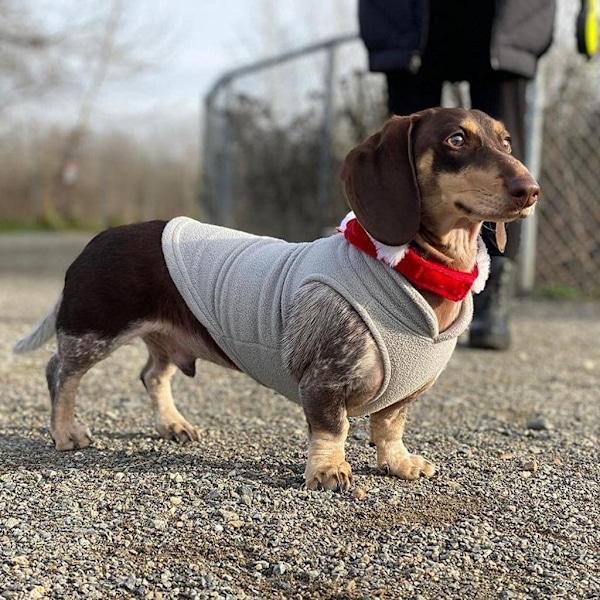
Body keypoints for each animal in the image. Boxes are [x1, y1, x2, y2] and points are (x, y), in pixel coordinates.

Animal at [14, 108, 540, 492]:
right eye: (456, 139)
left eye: (506, 142)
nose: (530, 189)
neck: (415, 272)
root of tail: (97, 239)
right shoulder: (324, 379)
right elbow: (332, 429)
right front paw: (329, 471)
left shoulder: (404, 395)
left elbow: (390, 426)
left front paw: (399, 463)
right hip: (93, 330)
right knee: (60, 373)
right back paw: (66, 432)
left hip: (164, 335)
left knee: (151, 375)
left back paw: (173, 425)